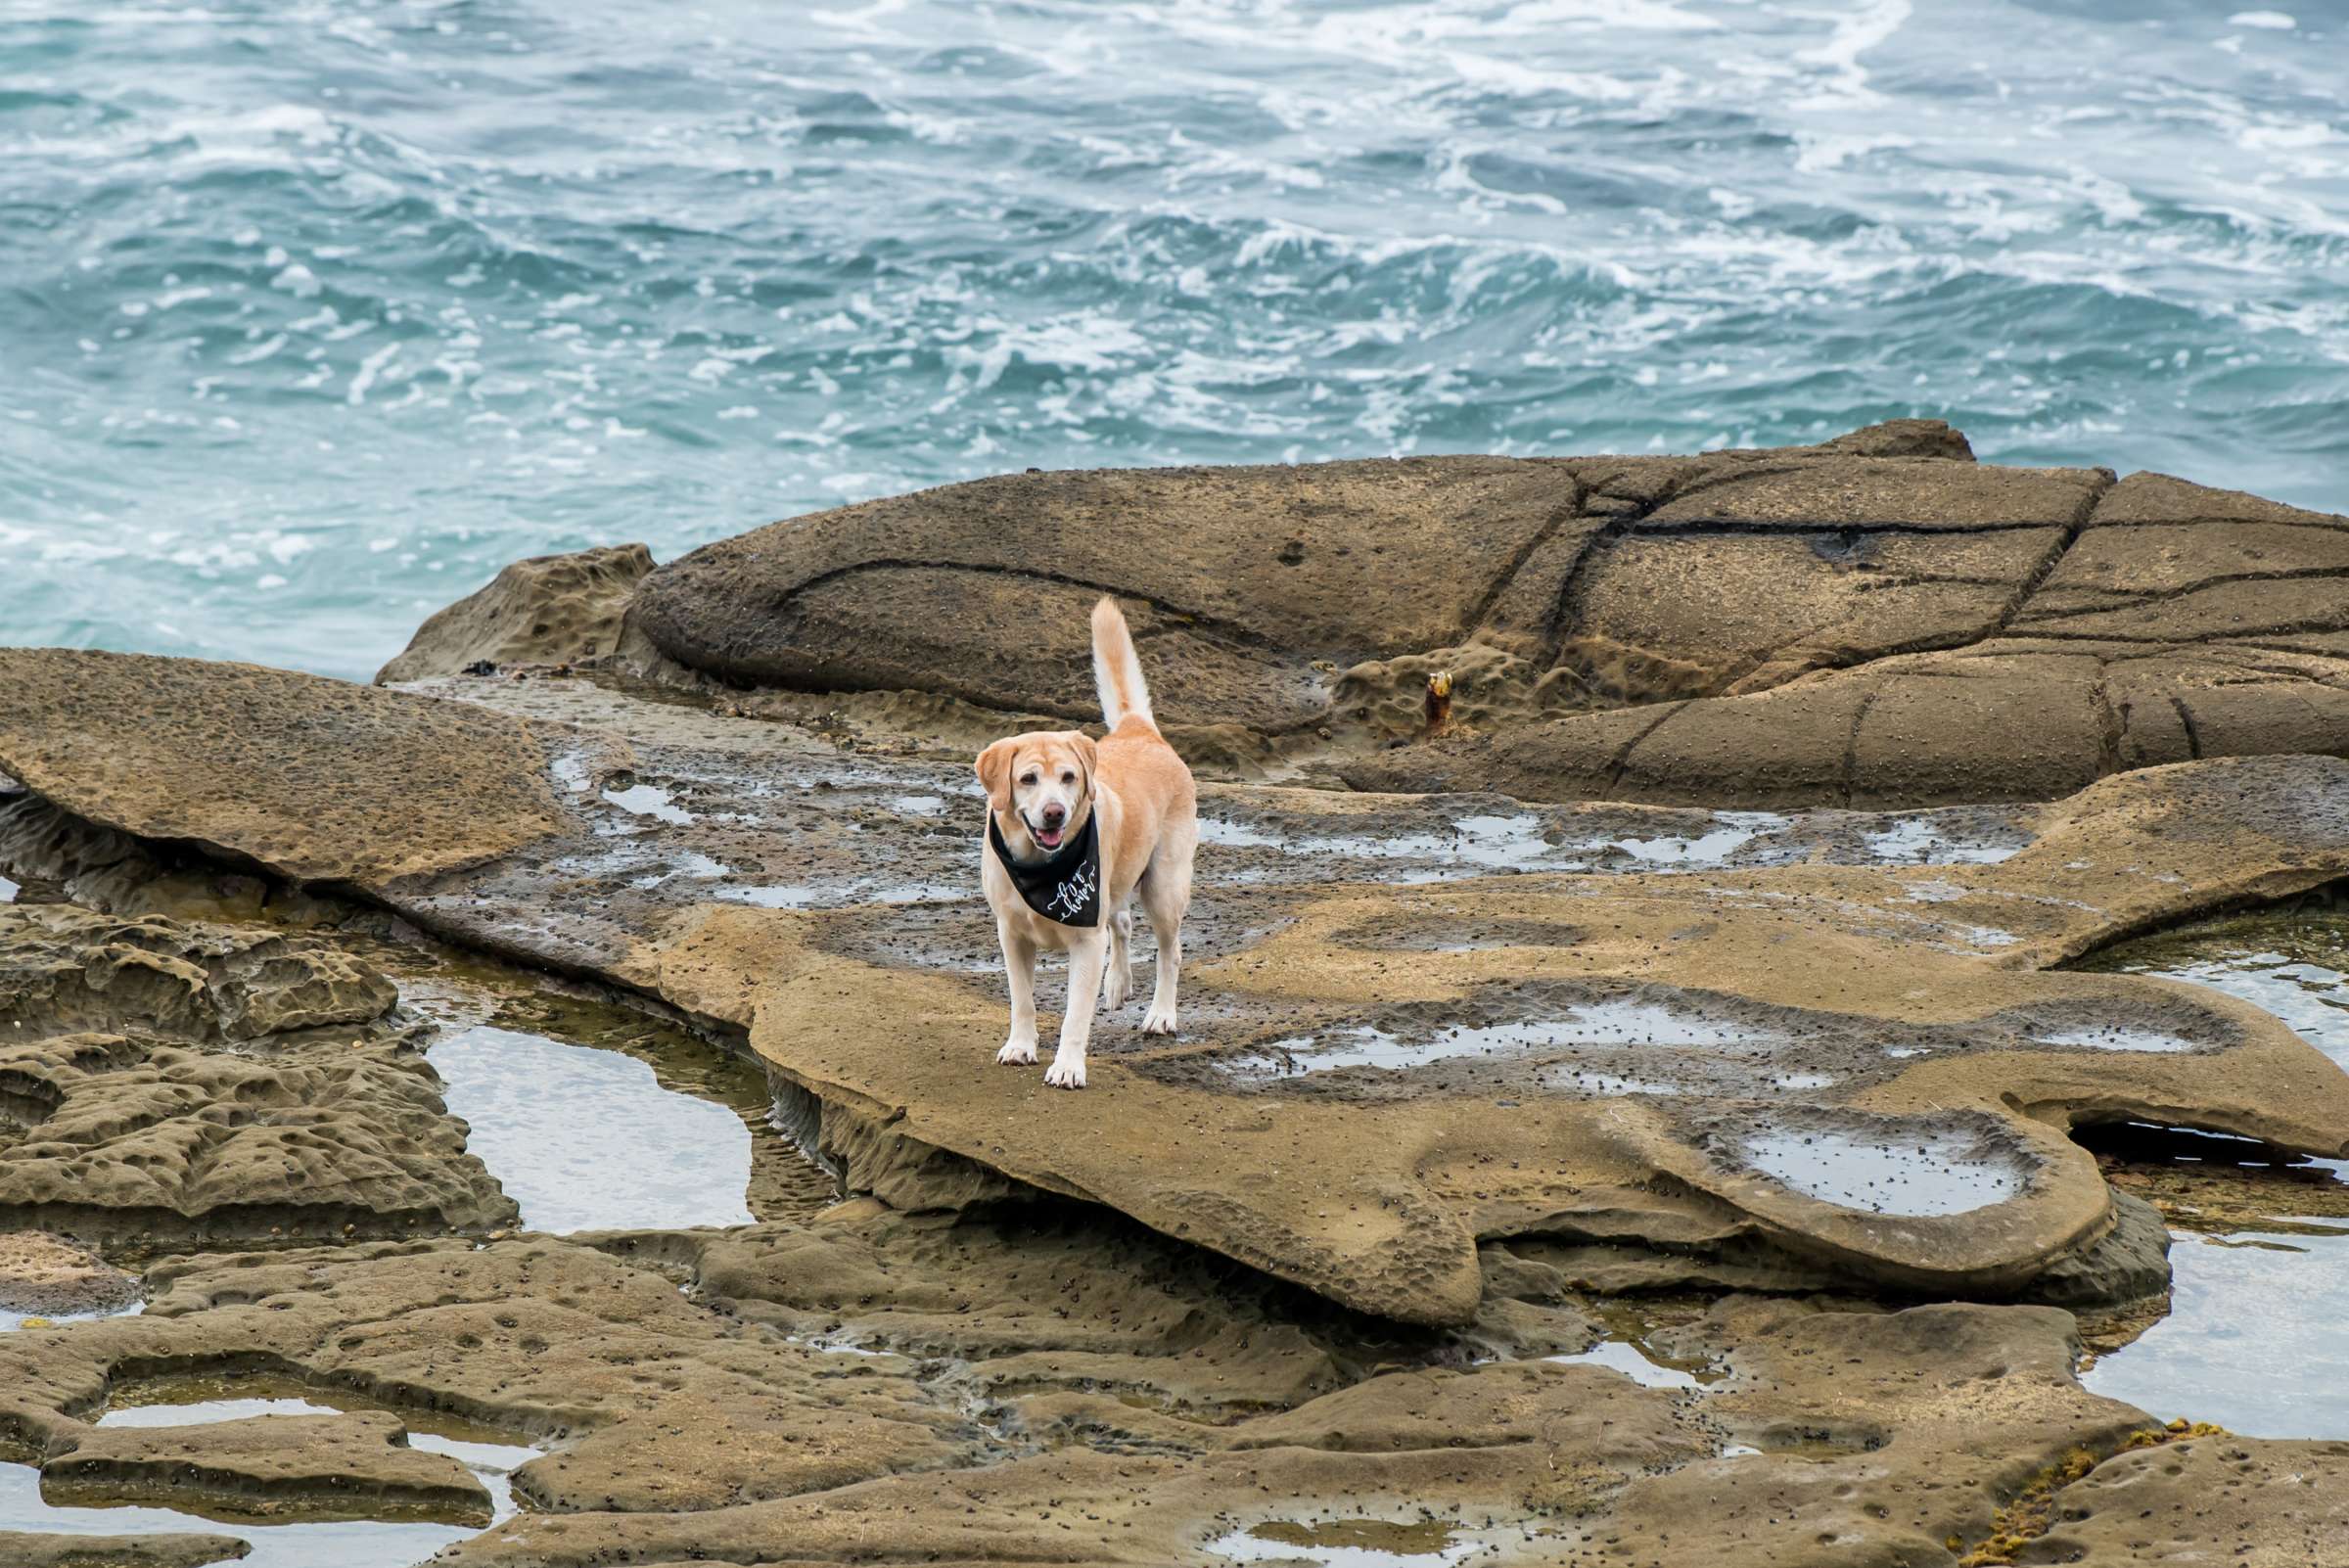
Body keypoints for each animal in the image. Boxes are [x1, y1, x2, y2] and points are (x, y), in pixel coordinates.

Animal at [972, 596, 1193, 1088]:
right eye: (1028, 779)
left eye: (1069, 777)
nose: (1055, 812)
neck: (1040, 867)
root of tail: (1138, 730)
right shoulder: (1011, 935)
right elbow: (1022, 999)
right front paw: (1020, 1046)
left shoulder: (1086, 944)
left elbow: (1075, 1015)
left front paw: (1068, 1067)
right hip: (1117, 883)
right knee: (1122, 922)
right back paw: (1118, 983)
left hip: (1164, 887)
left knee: (1170, 952)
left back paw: (1161, 1014)